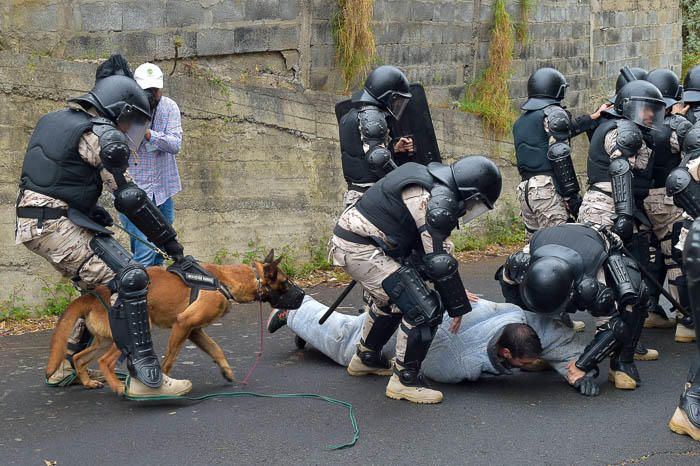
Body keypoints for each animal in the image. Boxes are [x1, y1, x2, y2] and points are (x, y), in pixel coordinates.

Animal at [46, 249, 304, 396]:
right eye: (286, 283)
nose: (302, 295)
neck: (225, 280)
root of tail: (94, 293)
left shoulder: (194, 330)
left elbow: (216, 349)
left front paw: (226, 370)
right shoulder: (183, 324)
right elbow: (168, 360)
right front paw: (163, 385)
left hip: (104, 339)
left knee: (79, 357)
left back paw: (88, 382)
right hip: (126, 336)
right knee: (104, 361)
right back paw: (118, 387)